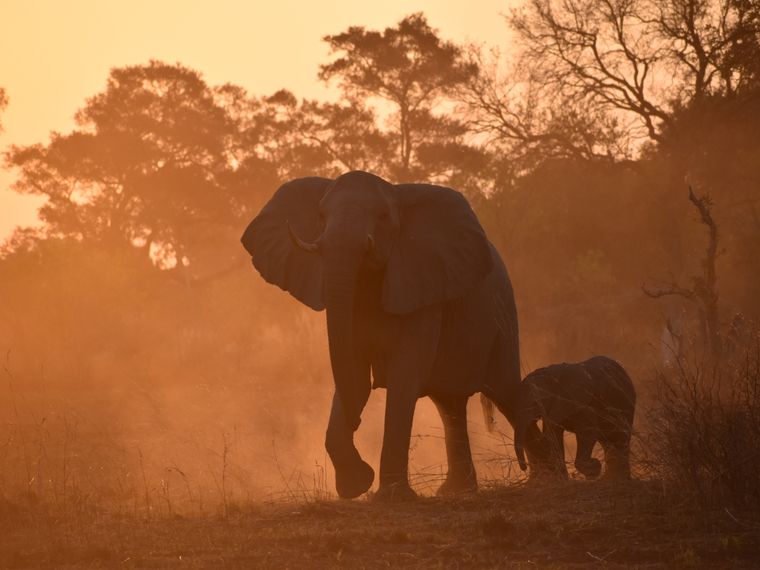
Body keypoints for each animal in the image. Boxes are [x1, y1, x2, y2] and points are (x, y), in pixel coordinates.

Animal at [241, 170, 548, 500]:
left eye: (383, 217)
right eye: (321, 216)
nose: (357, 422)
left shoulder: (422, 286)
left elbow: (405, 372)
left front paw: (389, 495)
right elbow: (354, 372)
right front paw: (356, 485)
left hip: (502, 320)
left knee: (504, 391)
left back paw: (547, 479)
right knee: (450, 404)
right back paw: (458, 491)